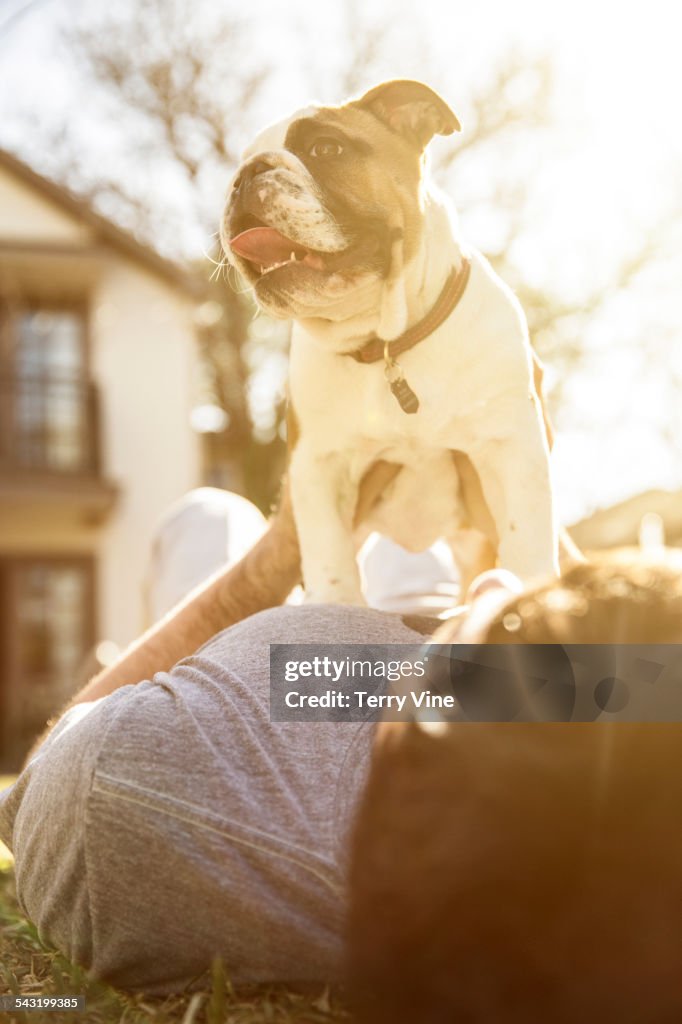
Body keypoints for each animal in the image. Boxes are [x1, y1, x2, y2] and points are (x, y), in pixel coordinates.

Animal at [223, 81, 557, 606]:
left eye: (326, 148)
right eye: (241, 163)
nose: (244, 176)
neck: (387, 342)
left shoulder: (511, 446)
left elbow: (527, 541)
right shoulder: (320, 468)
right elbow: (330, 560)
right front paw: (335, 606)